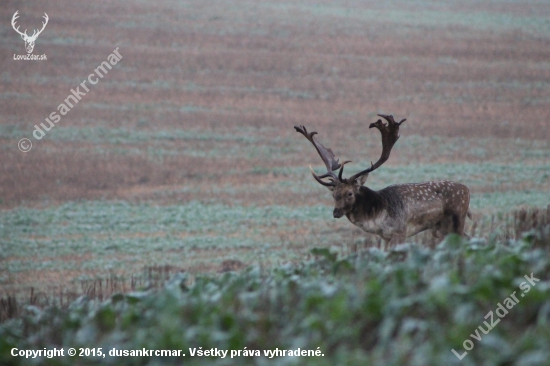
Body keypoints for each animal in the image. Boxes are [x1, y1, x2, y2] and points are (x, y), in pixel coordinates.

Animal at [296, 114, 472, 246]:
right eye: (333, 195)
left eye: (350, 193)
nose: (336, 212)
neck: (377, 217)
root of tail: (467, 190)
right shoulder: (385, 237)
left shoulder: (400, 231)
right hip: (440, 228)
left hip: (457, 219)